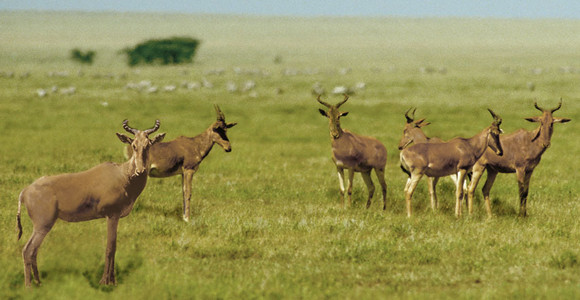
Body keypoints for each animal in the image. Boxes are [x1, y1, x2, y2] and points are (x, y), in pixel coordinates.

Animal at [16, 119, 165, 286]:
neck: (122, 174)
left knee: (33, 251)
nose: (140, 171)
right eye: (133, 145)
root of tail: (25, 191)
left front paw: (112, 280)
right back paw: (29, 286)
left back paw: (39, 282)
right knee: (27, 250)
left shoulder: (116, 217)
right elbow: (110, 247)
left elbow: (114, 247)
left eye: (148, 144)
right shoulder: (112, 215)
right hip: (42, 225)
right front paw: (105, 281)